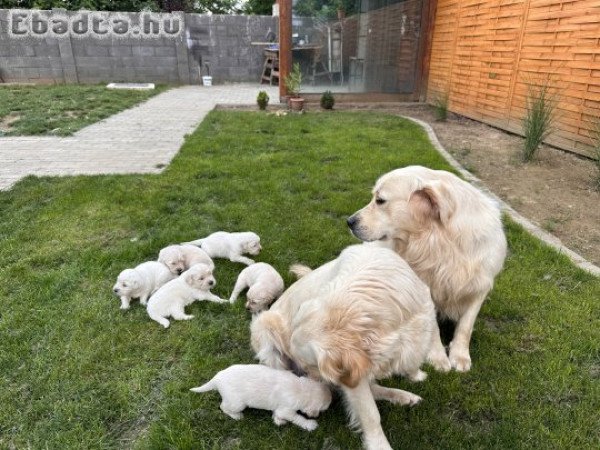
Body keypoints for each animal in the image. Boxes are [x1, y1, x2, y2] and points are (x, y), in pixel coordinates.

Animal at [190, 364, 330, 430]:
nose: (317, 415)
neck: (301, 388)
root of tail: (217, 378)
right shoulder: (287, 409)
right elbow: (297, 418)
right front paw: (310, 424)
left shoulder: (280, 409)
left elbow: (277, 414)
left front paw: (278, 421)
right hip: (236, 403)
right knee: (223, 407)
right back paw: (237, 416)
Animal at [251, 244, 434, 448]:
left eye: (311, 366)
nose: (306, 378)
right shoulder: (351, 374)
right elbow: (370, 414)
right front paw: (379, 445)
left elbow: (412, 362)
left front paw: (416, 375)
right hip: (265, 329)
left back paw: (404, 397)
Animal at [346, 165, 506, 372]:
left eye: (380, 200)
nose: (349, 222)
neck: (437, 241)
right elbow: (433, 328)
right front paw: (438, 357)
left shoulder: (480, 286)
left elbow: (466, 326)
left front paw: (460, 356)